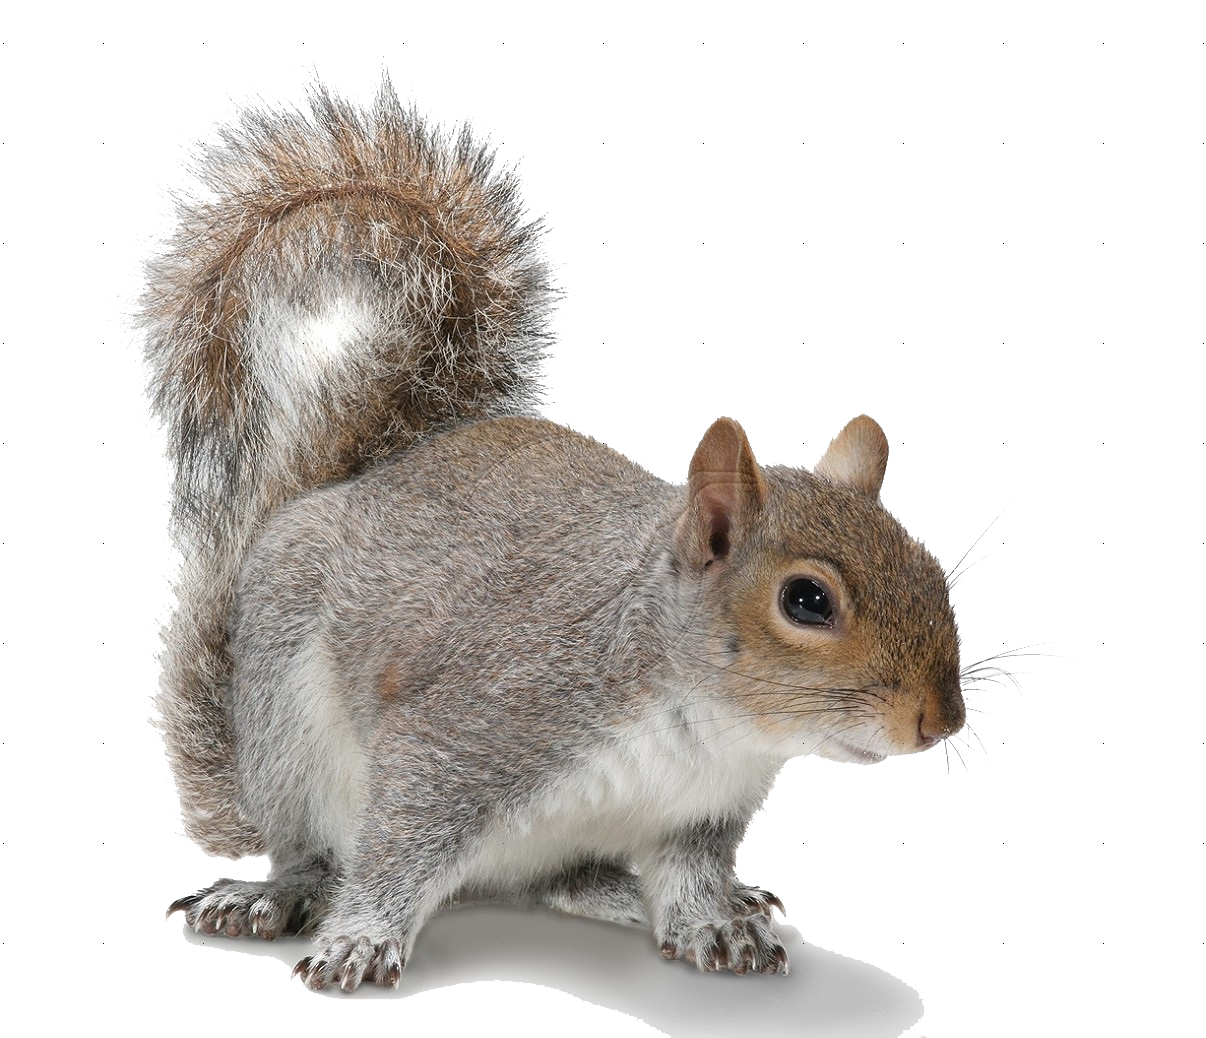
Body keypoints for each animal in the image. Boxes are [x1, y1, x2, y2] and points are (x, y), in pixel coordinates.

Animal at [133, 74, 966, 993]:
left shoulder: (699, 815)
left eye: (934, 571)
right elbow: (395, 848)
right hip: (286, 721)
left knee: (557, 882)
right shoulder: (472, 728)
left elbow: (689, 878)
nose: (942, 721)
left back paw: (652, 895)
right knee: (316, 850)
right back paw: (275, 894)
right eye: (808, 600)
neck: (707, 730)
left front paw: (716, 923)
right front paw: (361, 939)